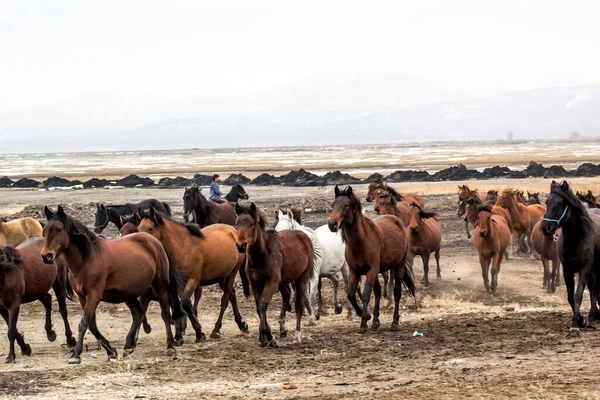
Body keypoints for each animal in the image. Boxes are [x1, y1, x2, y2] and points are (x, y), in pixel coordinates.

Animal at [42, 205, 183, 364]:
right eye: (45, 230)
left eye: (59, 229)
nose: (46, 256)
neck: (88, 258)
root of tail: (155, 242)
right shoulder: (82, 297)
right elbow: (92, 325)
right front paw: (111, 351)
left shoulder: (94, 296)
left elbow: (84, 323)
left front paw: (76, 354)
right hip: (129, 295)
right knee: (138, 314)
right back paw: (128, 346)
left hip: (160, 286)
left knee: (165, 313)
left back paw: (170, 346)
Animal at [137, 208, 248, 342]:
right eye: (138, 228)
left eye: (150, 228)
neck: (183, 246)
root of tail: (234, 231)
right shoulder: (180, 284)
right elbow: (186, 305)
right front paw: (186, 332)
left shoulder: (193, 281)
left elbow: (185, 303)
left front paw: (199, 333)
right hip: (222, 277)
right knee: (232, 295)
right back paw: (242, 324)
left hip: (232, 273)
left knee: (225, 300)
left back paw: (216, 330)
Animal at [234, 203, 314, 346]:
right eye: (236, 224)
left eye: (251, 224)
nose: (241, 245)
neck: (262, 255)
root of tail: (304, 236)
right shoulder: (255, 284)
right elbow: (258, 308)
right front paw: (270, 337)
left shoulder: (271, 282)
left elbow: (263, 305)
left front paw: (263, 338)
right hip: (282, 281)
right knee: (287, 294)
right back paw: (283, 328)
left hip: (301, 278)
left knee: (299, 303)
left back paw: (297, 334)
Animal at [328, 186, 412, 332]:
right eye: (333, 205)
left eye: (346, 205)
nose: (332, 224)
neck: (361, 242)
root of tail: (396, 220)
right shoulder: (354, 271)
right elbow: (351, 294)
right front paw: (366, 316)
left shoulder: (371, 271)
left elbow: (366, 294)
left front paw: (363, 323)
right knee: (378, 291)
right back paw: (376, 321)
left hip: (399, 266)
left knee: (397, 292)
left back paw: (394, 322)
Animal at [540, 181, 600, 332]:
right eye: (547, 202)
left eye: (560, 203)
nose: (545, 228)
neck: (576, 239)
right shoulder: (567, 270)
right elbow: (570, 297)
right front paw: (580, 320)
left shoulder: (584, 269)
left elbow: (578, 295)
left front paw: (575, 327)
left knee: (594, 290)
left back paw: (592, 319)